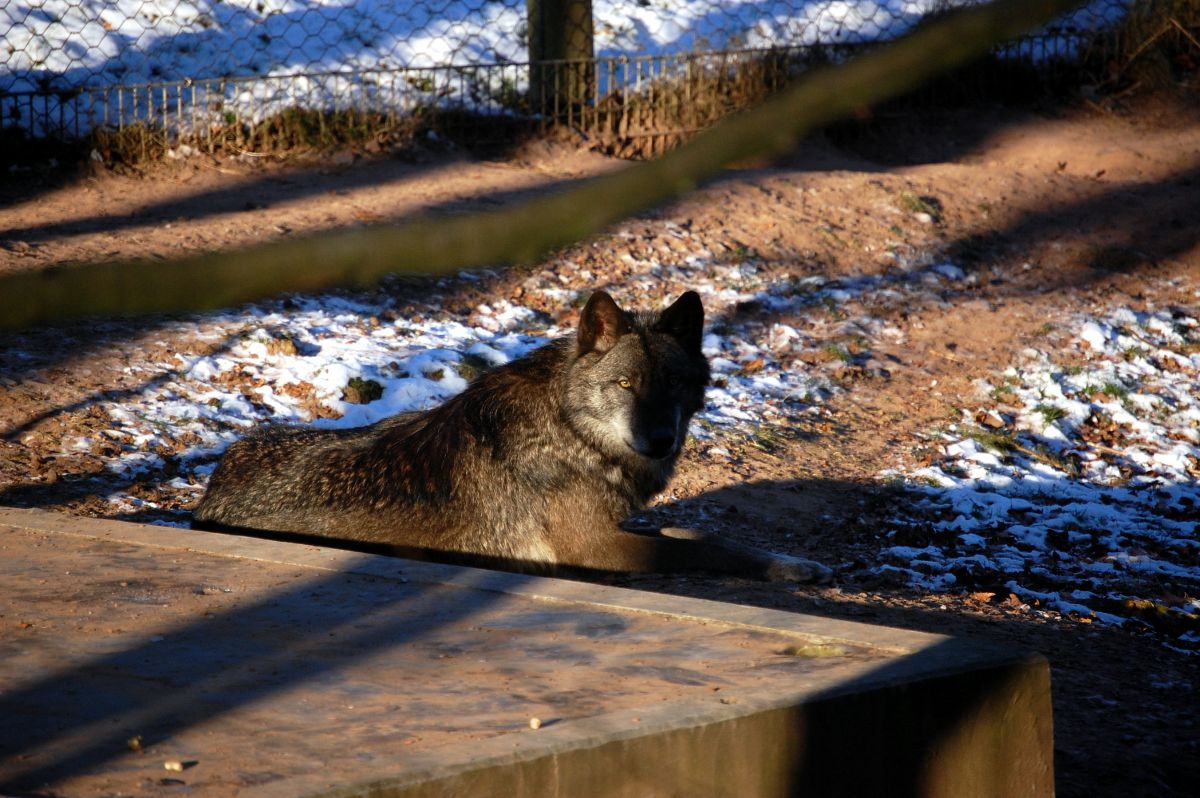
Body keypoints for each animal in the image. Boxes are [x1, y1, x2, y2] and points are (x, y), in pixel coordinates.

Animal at [196, 289, 830, 583]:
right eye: (626, 383)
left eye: (673, 382)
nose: (659, 441)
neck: (570, 432)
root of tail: (207, 495)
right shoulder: (596, 548)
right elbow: (699, 547)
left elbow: (696, 532)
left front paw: (794, 562)